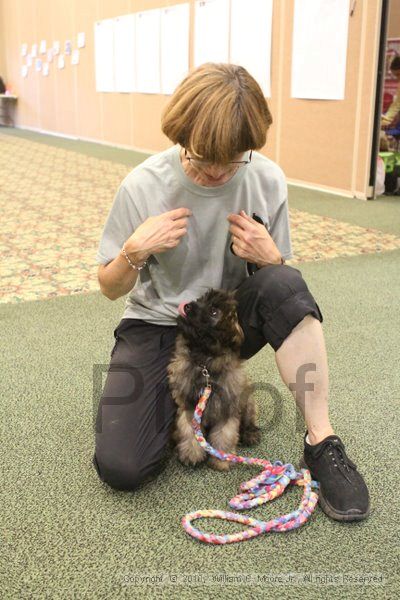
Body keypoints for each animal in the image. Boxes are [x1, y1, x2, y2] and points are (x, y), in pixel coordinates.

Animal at [167, 288, 260, 472]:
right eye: (201, 299)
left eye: (214, 312)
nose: (187, 306)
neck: (205, 364)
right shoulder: (189, 406)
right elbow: (189, 430)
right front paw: (192, 454)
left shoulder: (228, 410)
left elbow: (225, 435)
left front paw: (220, 459)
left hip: (247, 403)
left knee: (249, 421)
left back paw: (250, 434)